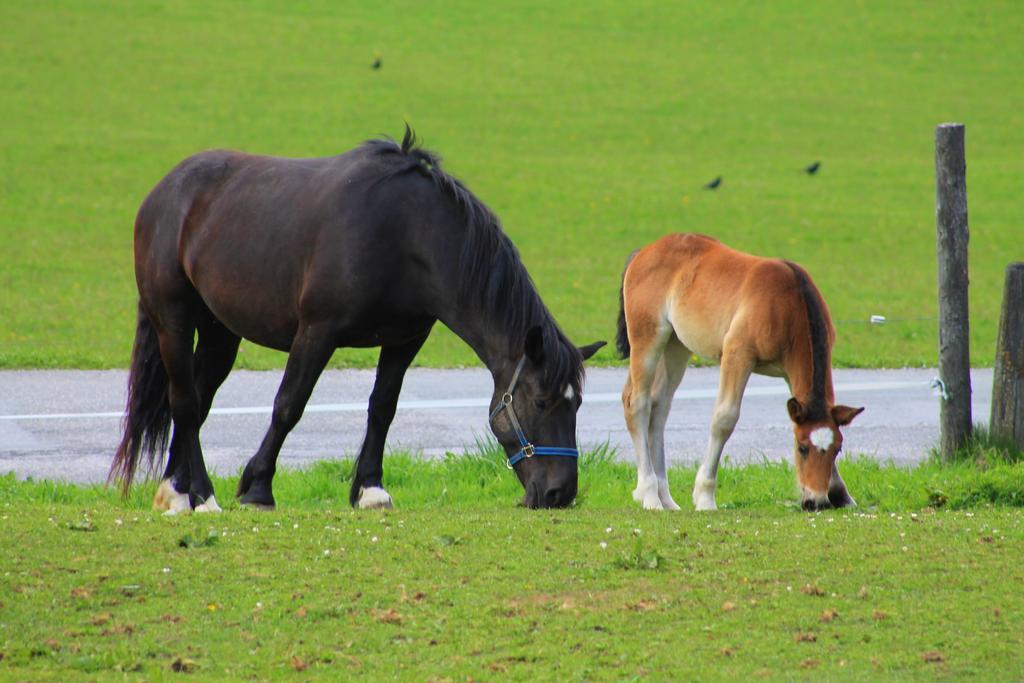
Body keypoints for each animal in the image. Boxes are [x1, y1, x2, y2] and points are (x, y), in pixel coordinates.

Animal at [108, 127, 602, 511]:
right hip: (172, 319)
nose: (560, 493)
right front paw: (258, 487)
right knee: (185, 401)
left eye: (577, 403)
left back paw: (178, 489)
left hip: (220, 333)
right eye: (542, 402)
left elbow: (382, 408)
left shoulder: (405, 340)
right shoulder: (317, 332)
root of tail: (165, 191)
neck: (406, 232)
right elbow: (289, 405)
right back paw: (199, 495)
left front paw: (369, 490)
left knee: (196, 399)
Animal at [618, 232, 860, 509]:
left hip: (676, 346)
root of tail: (644, 252)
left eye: (837, 449)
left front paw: (841, 494)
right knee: (637, 403)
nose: (817, 502)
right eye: (801, 448)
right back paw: (649, 496)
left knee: (659, 407)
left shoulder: (791, 374)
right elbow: (724, 419)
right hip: (647, 339)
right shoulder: (737, 355)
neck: (789, 302)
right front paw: (705, 497)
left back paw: (666, 499)